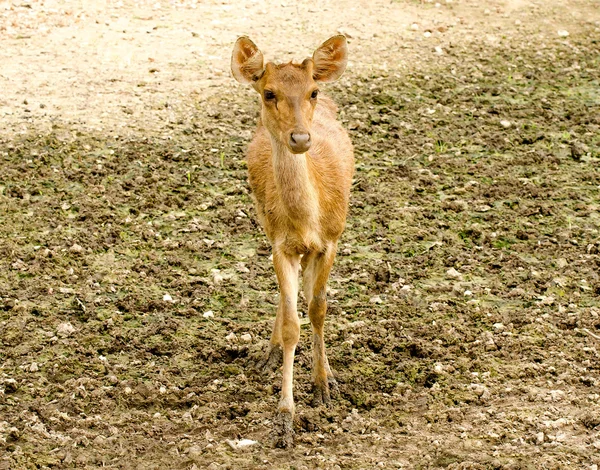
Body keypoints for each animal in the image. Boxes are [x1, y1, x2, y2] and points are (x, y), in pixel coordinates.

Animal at [229, 35, 352, 446]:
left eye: (312, 91)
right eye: (269, 93)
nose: (300, 138)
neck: (306, 222)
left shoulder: (330, 240)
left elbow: (318, 309)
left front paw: (323, 386)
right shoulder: (281, 246)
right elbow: (291, 324)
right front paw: (284, 417)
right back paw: (268, 355)